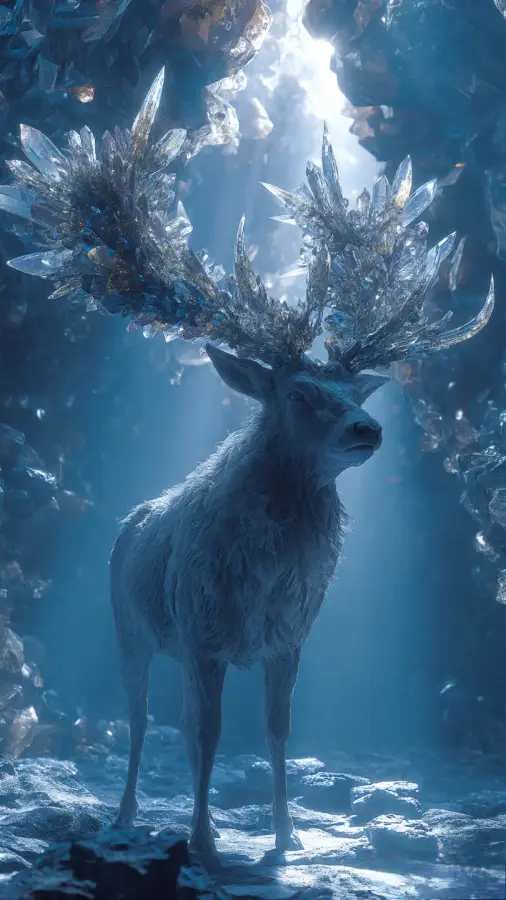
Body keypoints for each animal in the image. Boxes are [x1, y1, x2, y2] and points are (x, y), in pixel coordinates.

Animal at [1, 68, 494, 860]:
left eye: (351, 390)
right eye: (297, 392)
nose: (368, 429)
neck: (262, 579)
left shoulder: (286, 640)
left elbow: (275, 732)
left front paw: (287, 838)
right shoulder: (203, 633)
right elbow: (206, 736)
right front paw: (203, 840)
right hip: (128, 628)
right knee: (140, 722)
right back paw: (125, 814)